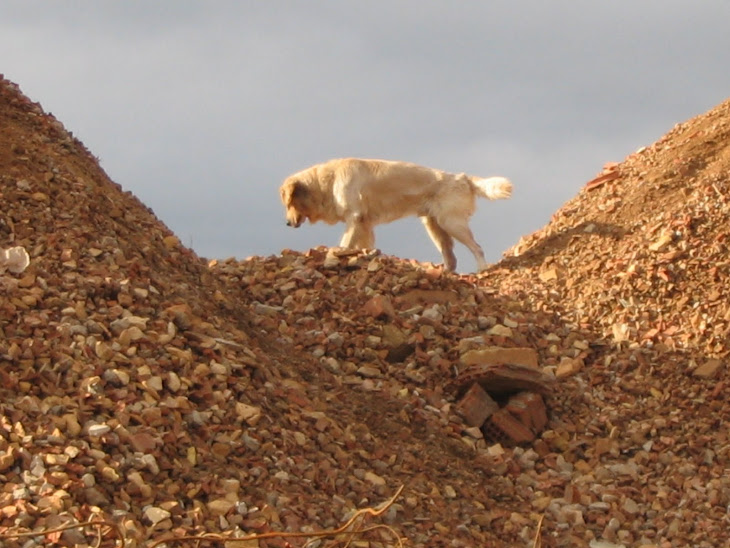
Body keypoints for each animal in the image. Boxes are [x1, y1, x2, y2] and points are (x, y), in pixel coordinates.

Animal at [278, 157, 512, 270]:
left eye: (288, 203)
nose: (287, 223)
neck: (328, 181)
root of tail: (462, 177)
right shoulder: (364, 224)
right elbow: (361, 245)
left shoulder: (354, 218)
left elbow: (344, 244)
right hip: (435, 227)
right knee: (451, 259)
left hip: (451, 223)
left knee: (477, 248)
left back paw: (482, 270)